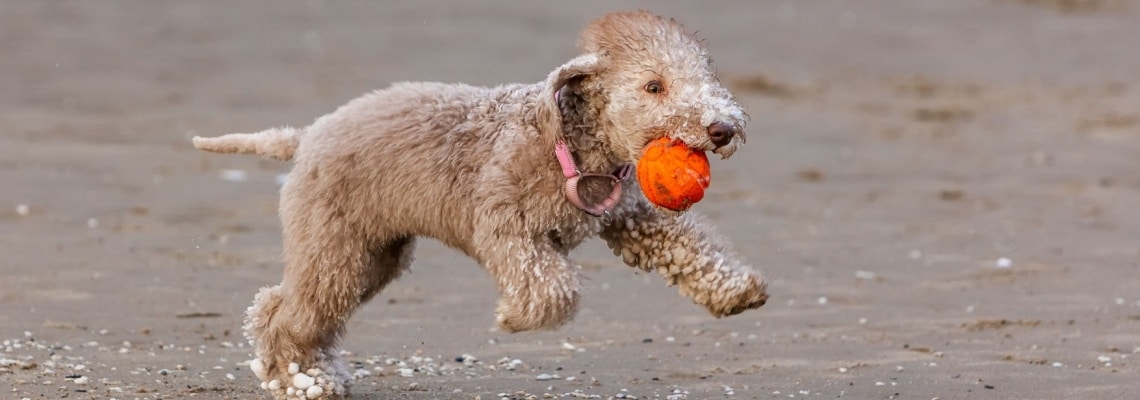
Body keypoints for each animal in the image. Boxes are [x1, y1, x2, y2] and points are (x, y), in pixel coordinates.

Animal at [193, 10, 766, 400]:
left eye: (706, 79)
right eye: (653, 85)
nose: (722, 128)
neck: (577, 147)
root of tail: (306, 134)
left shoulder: (633, 216)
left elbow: (690, 248)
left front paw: (738, 291)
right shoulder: (505, 225)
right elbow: (553, 288)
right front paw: (513, 317)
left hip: (371, 255)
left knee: (282, 306)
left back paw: (311, 374)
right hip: (335, 246)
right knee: (285, 313)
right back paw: (300, 381)